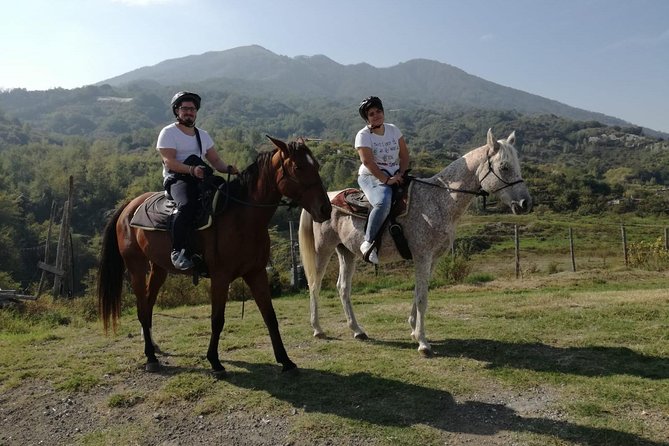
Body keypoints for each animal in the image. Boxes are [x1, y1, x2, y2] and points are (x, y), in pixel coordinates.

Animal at [96, 137, 332, 376]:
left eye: (316, 165)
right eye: (298, 167)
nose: (325, 209)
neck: (241, 218)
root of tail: (129, 207)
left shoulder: (256, 273)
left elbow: (270, 316)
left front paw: (285, 360)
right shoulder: (220, 277)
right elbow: (217, 319)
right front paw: (214, 361)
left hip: (159, 268)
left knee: (148, 304)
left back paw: (152, 347)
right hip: (136, 266)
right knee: (142, 309)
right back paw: (151, 358)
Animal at [298, 129, 532, 356]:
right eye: (504, 167)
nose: (525, 203)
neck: (439, 200)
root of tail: (327, 199)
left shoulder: (432, 259)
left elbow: (420, 292)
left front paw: (412, 329)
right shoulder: (422, 256)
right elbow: (422, 297)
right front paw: (423, 342)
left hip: (346, 253)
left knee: (343, 288)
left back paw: (357, 330)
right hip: (323, 250)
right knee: (315, 285)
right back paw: (318, 329)